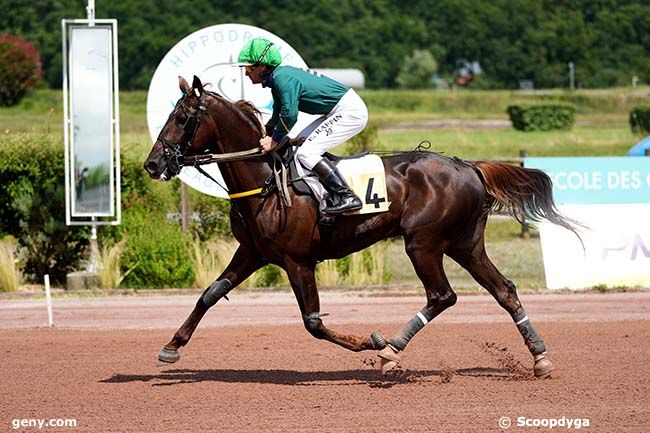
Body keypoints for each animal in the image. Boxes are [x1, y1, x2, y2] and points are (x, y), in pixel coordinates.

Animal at [143, 76, 576, 376]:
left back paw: (392, 349)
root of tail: (467, 165)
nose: (152, 164)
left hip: (423, 242)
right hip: (464, 244)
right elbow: (210, 294)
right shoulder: (253, 252)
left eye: (182, 117)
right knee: (503, 289)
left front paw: (372, 342)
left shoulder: (297, 261)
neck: (264, 178)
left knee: (442, 296)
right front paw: (172, 346)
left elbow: (314, 323)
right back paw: (539, 357)